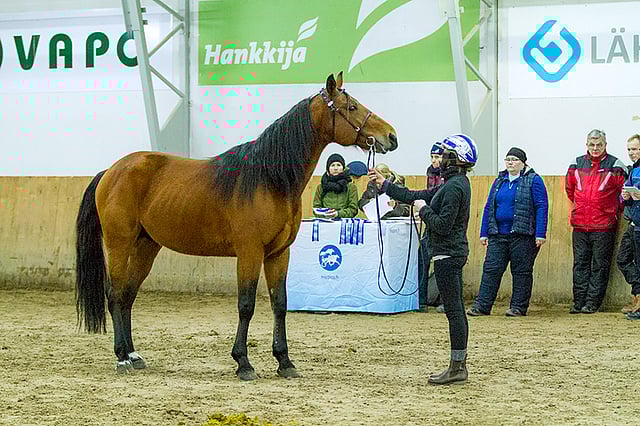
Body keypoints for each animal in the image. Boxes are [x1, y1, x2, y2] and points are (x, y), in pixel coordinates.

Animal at [75, 72, 398, 380]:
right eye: (351, 107)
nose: (390, 136)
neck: (269, 180)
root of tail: (111, 171)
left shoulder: (278, 254)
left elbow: (279, 304)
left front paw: (284, 361)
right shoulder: (250, 252)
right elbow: (246, 305)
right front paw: (243, 363)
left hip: (146, 246)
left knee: (128, 296)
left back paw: (133, 355)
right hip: (119, 243)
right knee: (115, 295)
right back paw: (121, 357)